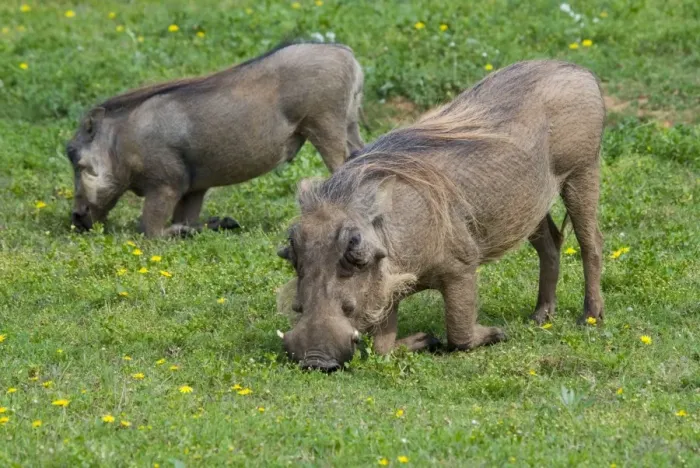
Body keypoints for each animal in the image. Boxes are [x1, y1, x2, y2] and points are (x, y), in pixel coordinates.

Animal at [66, 42, 364, 237]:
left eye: (77, 160)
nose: (76, 219)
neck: (120, 144)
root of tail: (348, 55)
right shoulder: (193, 188)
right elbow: (189, 218)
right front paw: (222, 223)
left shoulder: (165, 185)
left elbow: (150, 230)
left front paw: (181, 232)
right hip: (348, 125)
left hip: (325, 125)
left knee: (343, 167)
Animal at [276, 60, 605, 371]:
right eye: (296, 260)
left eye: (357, 258)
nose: (316, 361)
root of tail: (579, 70)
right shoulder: (387, 286)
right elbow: (382, 347)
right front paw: (425, 340)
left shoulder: (461, 267)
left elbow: (459, 334)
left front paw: (497, 334)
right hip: (531, 204)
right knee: (550, 244)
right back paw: (540, 316)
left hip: (583, 171)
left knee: (591, 244)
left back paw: (590, 317)